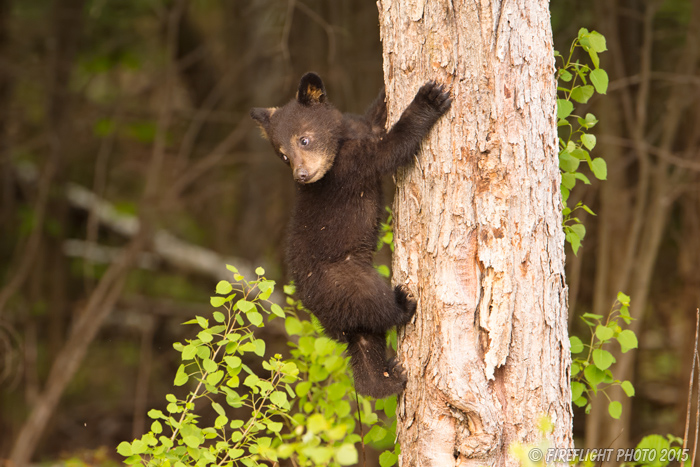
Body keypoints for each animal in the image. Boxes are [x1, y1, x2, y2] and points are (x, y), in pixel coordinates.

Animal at [249, 73, 452, 398]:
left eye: (304, 140)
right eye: (283, 156)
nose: (301, 175)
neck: (341, 144)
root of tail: (313, 305)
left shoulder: (361, 128)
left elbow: (376, 116)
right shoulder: (351, 167)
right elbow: (390, 149)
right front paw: (429, 98)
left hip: (347, 316)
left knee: (365, 341)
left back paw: (386, 380)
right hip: (348, 282)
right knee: (376, 306)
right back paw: (403, 305)